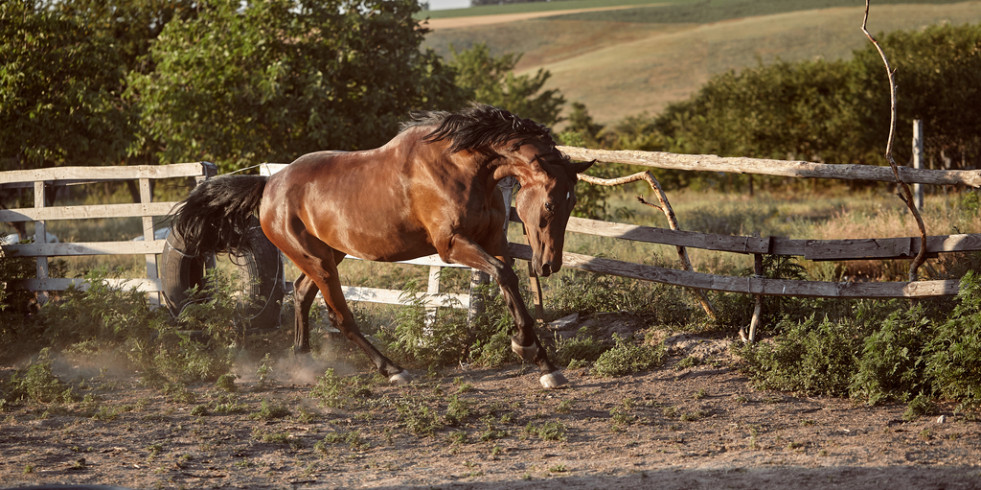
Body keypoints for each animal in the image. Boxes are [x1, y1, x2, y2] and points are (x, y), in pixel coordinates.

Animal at [170, 105, 588, 388]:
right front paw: (527, 350)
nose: (549, 264)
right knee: (339, 315)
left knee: (302, 294)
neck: (462, 167)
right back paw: (393, 370)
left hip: (327, 255)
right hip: (317, 260)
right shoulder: (452, 245)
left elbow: (509, 282)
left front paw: (543, 363)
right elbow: (503, 275)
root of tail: (268, 186)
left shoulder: (492, 241)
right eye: (551, 204)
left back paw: (303, 361)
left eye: (572, 204)